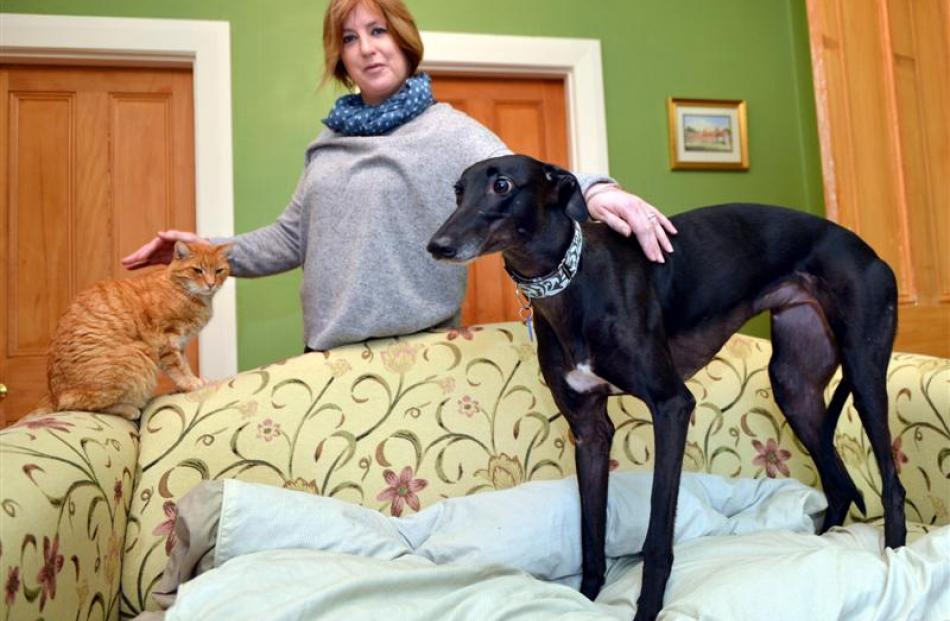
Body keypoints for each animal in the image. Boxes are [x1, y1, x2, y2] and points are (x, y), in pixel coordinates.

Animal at [42, 240, 232, 418]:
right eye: (197, 270)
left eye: (218, 271)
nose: (211, 284)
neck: (180, 290)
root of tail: (53, 396)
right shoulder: (167, 340)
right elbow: (178, 367)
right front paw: (191, 384)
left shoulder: (180, 343)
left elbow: (185, 365)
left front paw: (195, 379)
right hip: (139, 354)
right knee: (80, 405)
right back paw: (129, 409)